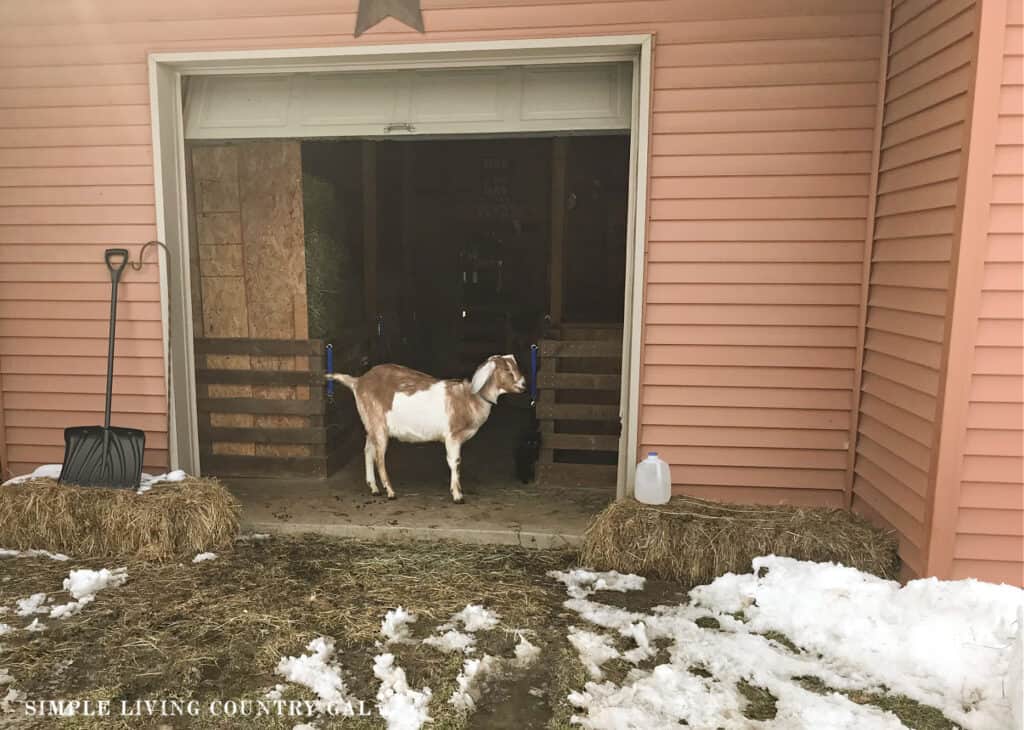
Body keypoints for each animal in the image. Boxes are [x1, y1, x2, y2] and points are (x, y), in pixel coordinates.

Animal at [325, 352, 524, 501]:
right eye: (507, 369)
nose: (523, 385)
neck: (468, 399)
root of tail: (358, 382)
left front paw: (458, 490)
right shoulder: (452, 436)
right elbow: (455, 462)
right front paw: (457, 495)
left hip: (370, 422)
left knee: (368, 449)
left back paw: (374, 487)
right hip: (378, 423)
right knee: (379, 457)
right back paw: (390, 492)